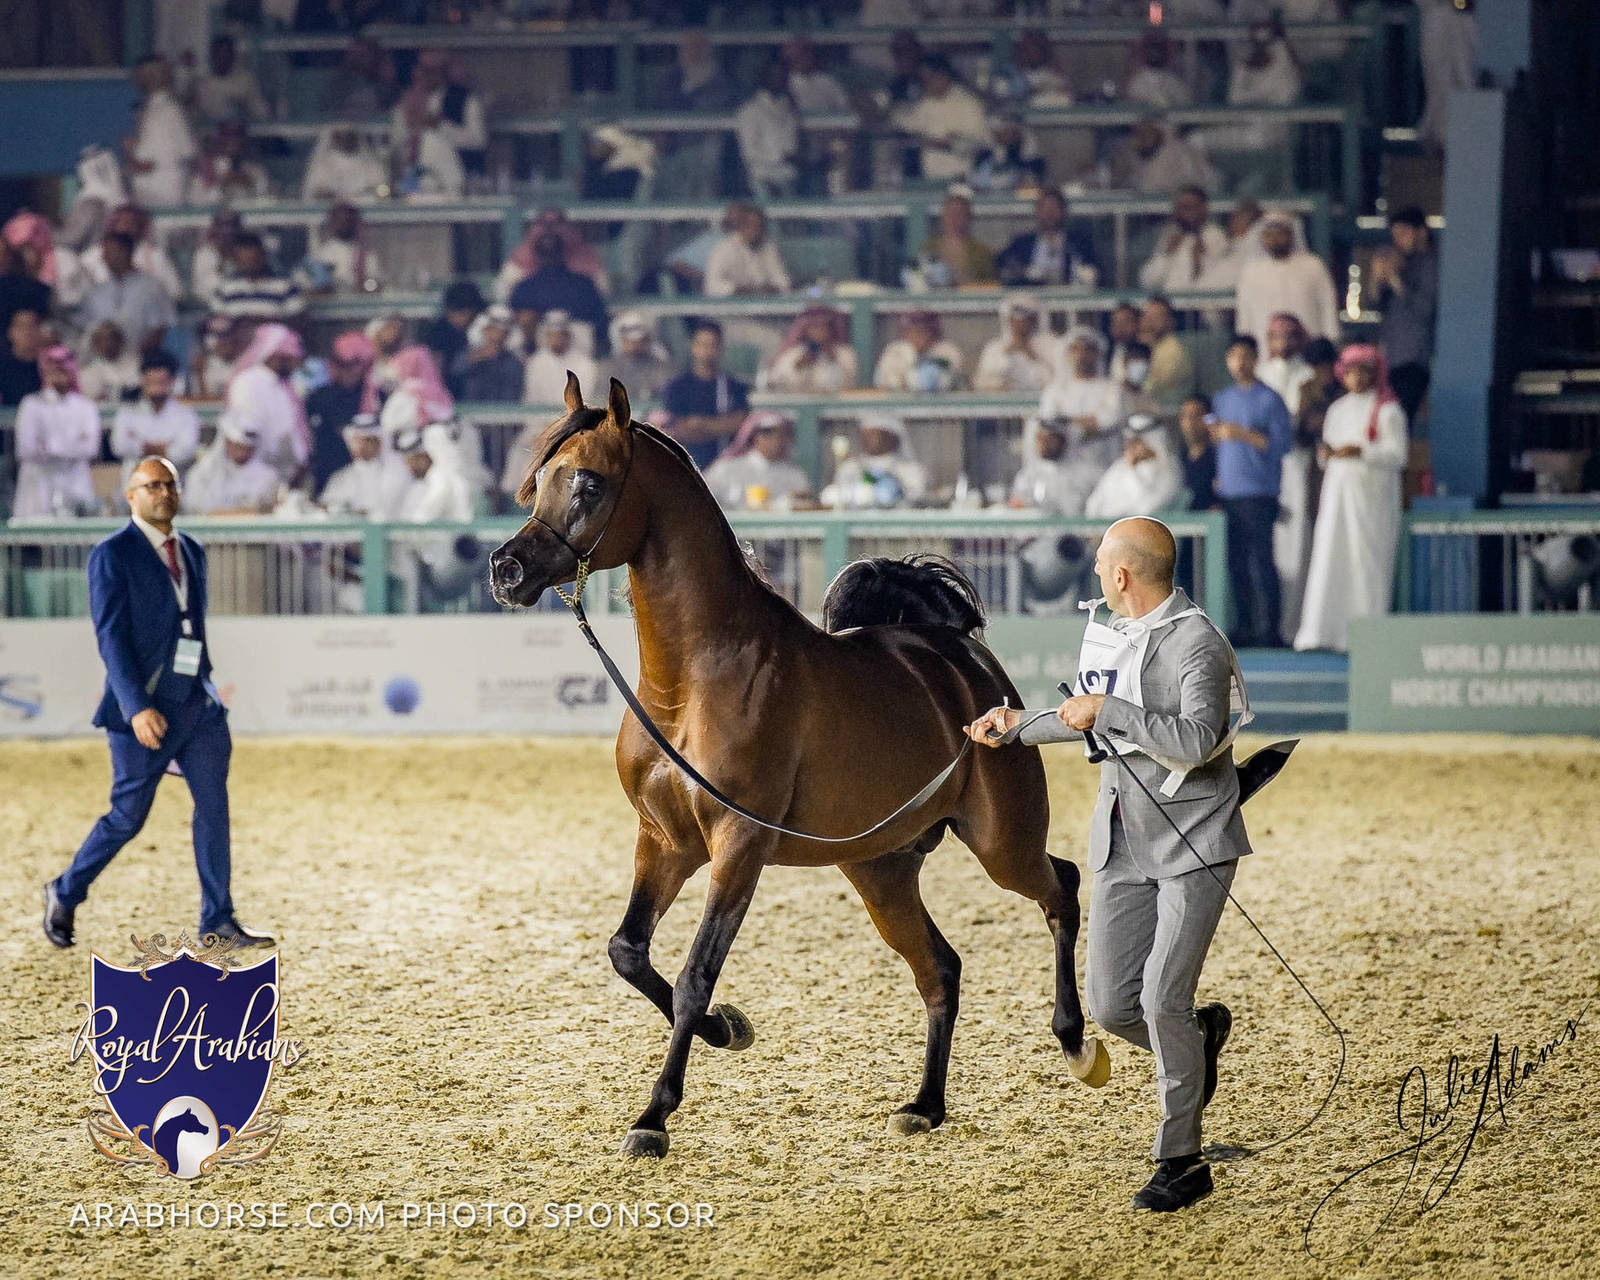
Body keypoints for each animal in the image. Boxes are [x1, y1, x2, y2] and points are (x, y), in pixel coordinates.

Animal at [489, 373, 1108, 1158]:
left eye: (590, 482)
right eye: (539, 477)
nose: (505, 569)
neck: (694, 681)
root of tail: (961, 658)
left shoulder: (738, 848)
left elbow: (693, 976)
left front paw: (655, 1115)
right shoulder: (664, 842)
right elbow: (627, 950)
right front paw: (728, 1028)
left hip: (1003, 842)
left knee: (1061, 888)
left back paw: (1077, 1043)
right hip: (880, 869)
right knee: (941, 968)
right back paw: (925, 1105)